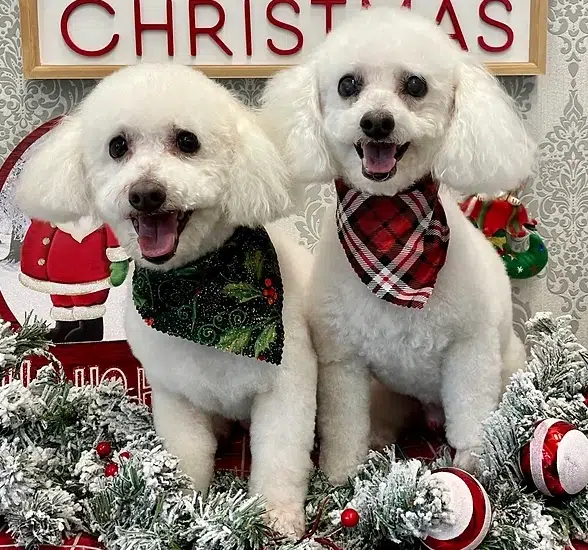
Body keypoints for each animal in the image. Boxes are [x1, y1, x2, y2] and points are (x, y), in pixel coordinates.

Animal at [17, 64, 316, 540]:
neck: (199, 295)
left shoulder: (287, 389)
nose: (145, 193)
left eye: (188, 141)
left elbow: (281, 459)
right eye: (117, 146)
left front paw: (277, 518)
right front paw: (178, 509)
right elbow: (186, 453)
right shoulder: (176, 396)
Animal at [260, 7, 536, 484]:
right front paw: (341, 477)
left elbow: (470, 419)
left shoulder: (470, 351)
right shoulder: (343, 361)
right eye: (348, 84)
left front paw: (472, 465)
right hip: (384, 392)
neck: (389, 239)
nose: (376, 122)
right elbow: (344, 427)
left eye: (415, 85)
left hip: (508, 363)